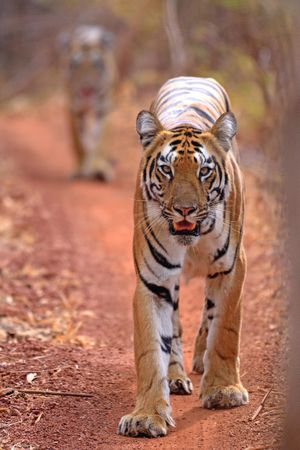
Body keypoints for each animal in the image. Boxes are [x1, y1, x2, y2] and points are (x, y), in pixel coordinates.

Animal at [61, 25, 117, 180]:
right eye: (76, 66)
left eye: (95, 65)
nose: (86, 89)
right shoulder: (75, 110)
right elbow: (79, 143)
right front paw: (80, 169)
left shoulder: (102, 110)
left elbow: (99, 140)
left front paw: (99, 168)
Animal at [118, 75, 247, 438]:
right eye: (166, 170)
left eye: (204, 171)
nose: (185, 209)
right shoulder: (153, 283)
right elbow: (150, 350)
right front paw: (146, 417)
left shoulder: (232, 268)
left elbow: (225, 330)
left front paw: (224, 391)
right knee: (174, 329)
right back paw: (176, 376)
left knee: (209, 314)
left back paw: (201, 361)